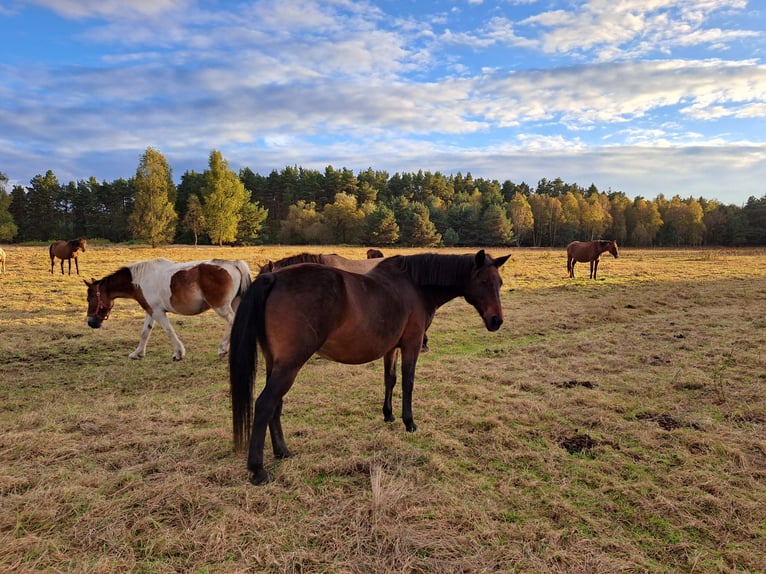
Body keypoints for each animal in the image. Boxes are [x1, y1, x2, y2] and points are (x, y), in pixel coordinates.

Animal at [85, 258, 252, 362]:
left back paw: (222, 349)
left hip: (221, 308)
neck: (141, 280)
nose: (91, 322)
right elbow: (145, 332)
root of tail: (233, 264)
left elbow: (169, 330)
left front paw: (178, 353)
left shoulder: (158, 312)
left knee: (232, 321)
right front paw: (138, 353)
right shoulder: (151, 311)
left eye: (89, 298)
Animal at [231, 251, 512, 486]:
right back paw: (258, 470)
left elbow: (390, 379)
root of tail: (273, 277)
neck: (416, 285)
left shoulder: (391, 348)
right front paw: (409, 422)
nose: (496, 321)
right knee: (265, 404)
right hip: (290, 365)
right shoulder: (411, 344)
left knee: (275, 406)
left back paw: (283, 452)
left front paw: (388, 414)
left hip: (276, 364)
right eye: (483, 282)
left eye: (499, 283)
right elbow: (408, 382)